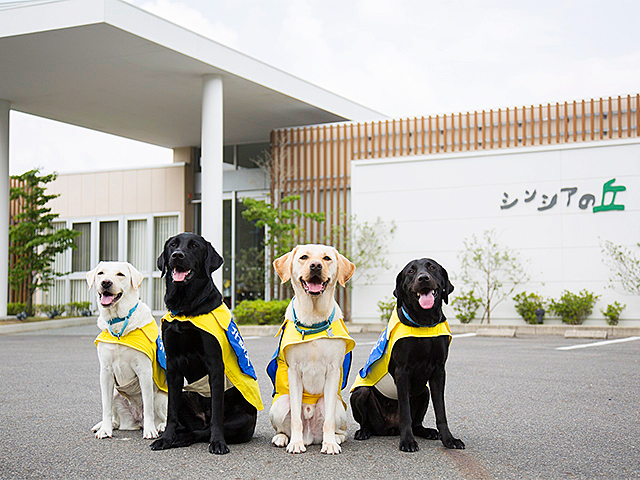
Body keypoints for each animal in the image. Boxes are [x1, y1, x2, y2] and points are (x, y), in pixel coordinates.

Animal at [87, 262, 168, 438]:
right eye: (101, 273)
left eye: (120, 274)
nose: (106, 282)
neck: (119, 322)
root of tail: (137, 420)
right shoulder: (106, 371)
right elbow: (106, 407)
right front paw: (105, 429)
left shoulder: (144, 370)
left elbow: (148, 405)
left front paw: (150, 430)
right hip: (116, 395)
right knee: (115, 417)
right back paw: (105, 425)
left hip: (161, 399)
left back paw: (160, 426)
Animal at [151, 232, 256, 454]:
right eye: (172, 244)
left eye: (194, 246)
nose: (177, 255)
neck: (186, 309)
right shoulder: (172, 366)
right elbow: (171, 412)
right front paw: (166, 438)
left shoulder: (214, 364)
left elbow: (216, 412)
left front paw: (218, 442)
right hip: (184, 394)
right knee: (192, 425)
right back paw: (175, 435)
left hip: (242, 418)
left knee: (202, 431)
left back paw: (186, 438)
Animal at [264, 244, 356, 454]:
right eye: (304, 257)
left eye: (327, 258)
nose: (315, 266)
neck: (314, 319)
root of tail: (310, 437)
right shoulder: (294, 371)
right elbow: (296, 420)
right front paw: (295, 443)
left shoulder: (333, 371)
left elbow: (328, 421)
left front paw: (329, 444)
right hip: (280, 404)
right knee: (285, 425)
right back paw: (283, 438)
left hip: (337, 406)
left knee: (340, 428)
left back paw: (334, 439)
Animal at [350, 258, 464, 450]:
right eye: (410, 271)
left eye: (432, 267)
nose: (423, 278)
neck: (424, 323)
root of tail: (390, 429)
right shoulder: (403, 372)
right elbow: (405, 412)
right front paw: (408, 441)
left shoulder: (439, 372)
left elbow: (441, 411)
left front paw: (449, 439)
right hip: (360, 394)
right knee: (367, 421)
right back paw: (364, 432)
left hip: (424, 392)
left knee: (417, 422)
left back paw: (427, 431)